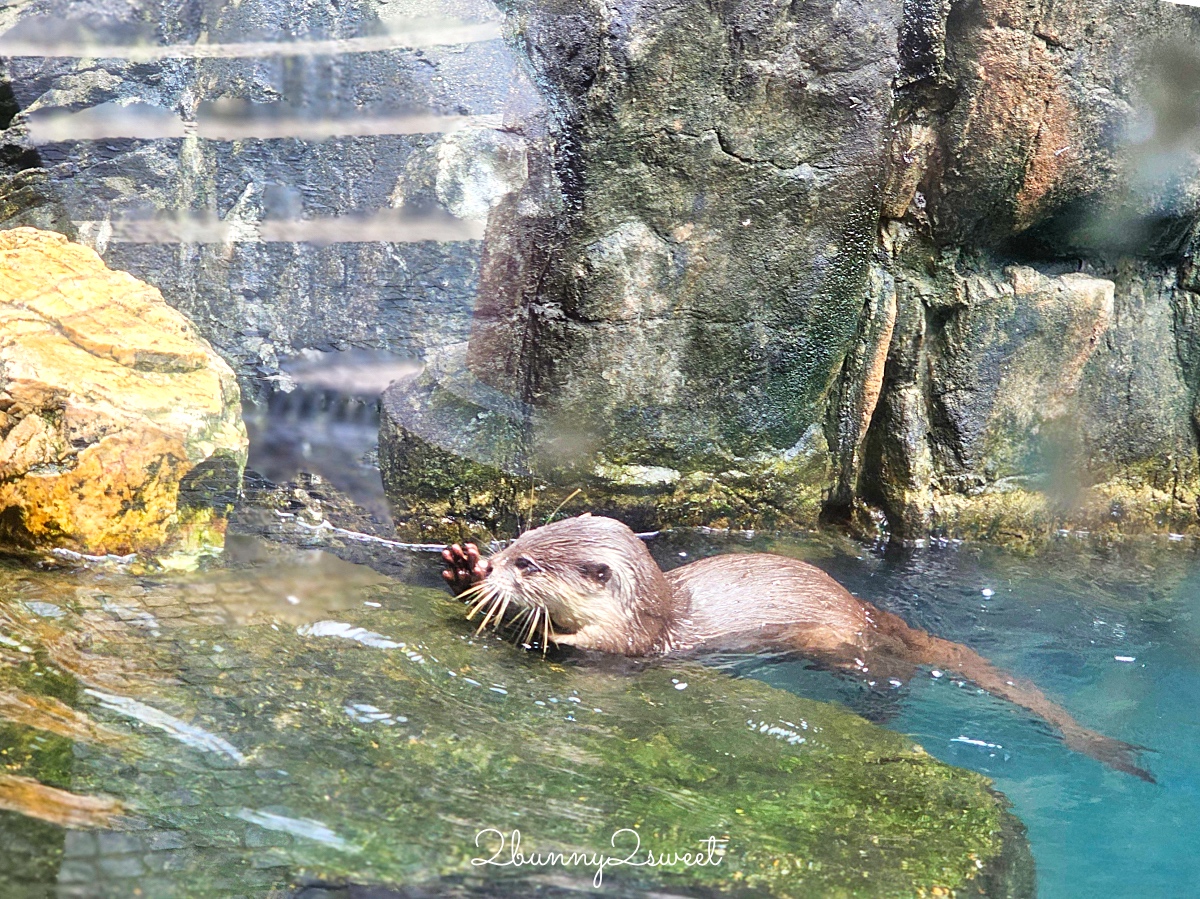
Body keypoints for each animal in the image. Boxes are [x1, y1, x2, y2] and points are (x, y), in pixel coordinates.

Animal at [444, 511, 1152, 777]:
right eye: (520, 539)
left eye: (528, 565)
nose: (499, 561)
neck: (657, 614)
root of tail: (871, 612)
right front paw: (461, 567)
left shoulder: (628, 644)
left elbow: (583, 648)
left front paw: (522, 620)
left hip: (841, 643)